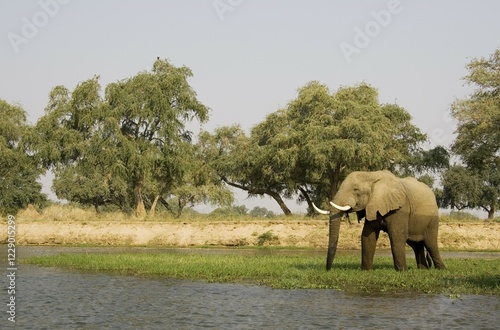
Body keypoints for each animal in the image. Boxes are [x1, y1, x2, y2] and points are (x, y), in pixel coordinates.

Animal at [312, 170, 446, 270]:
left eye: (356, 190)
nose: (328, 269)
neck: (371, 176)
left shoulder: (400, 209)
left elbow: (396, 236)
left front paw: (402, 271)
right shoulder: (372, 205)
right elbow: (367, 236)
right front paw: (366, 270)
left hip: (432, 220)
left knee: (430, 243)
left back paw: (441, 269)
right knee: (416, 245)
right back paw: (423, 269)